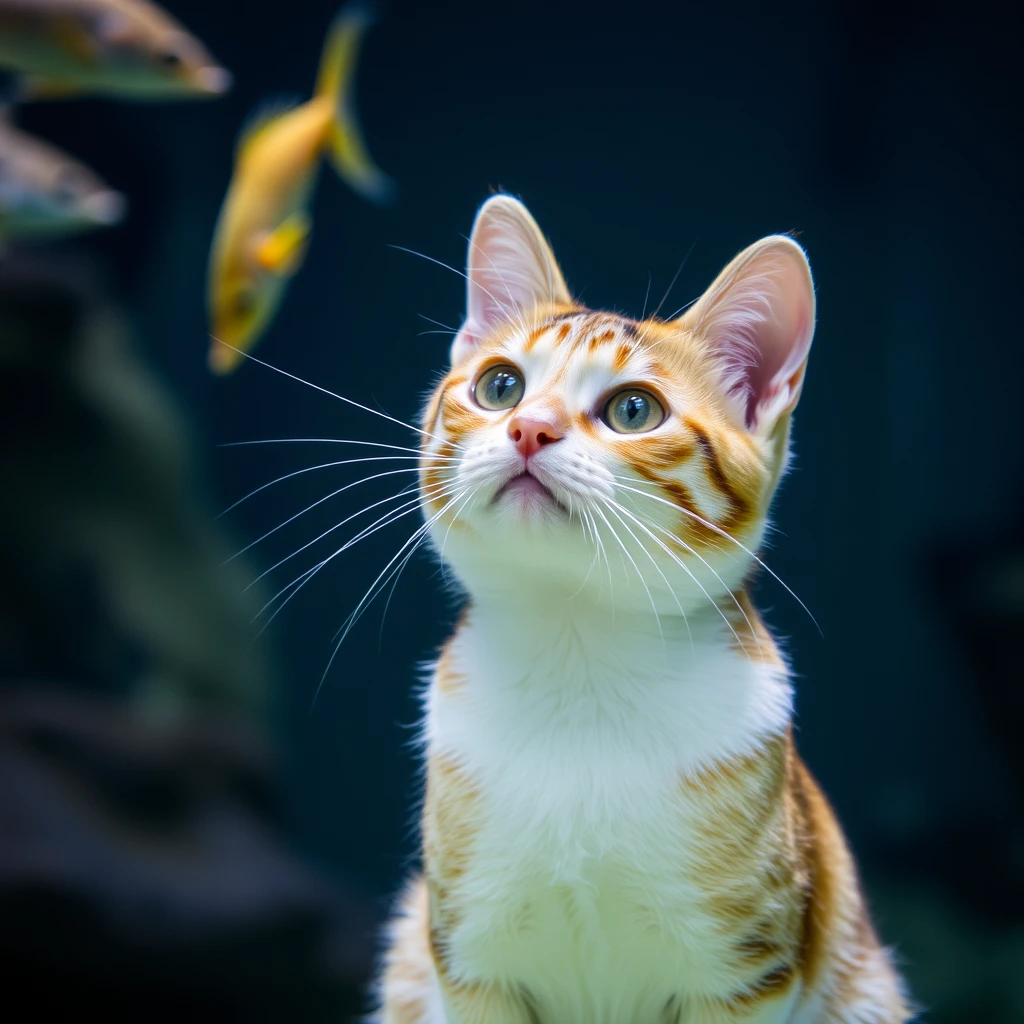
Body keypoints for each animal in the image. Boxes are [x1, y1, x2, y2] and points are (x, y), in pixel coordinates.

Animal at [370, 193, 913, 1024]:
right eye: (499, 387)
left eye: (633, 409)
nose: (529, 428)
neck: (579, 660)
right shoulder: (465, 961)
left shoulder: (745, 972)